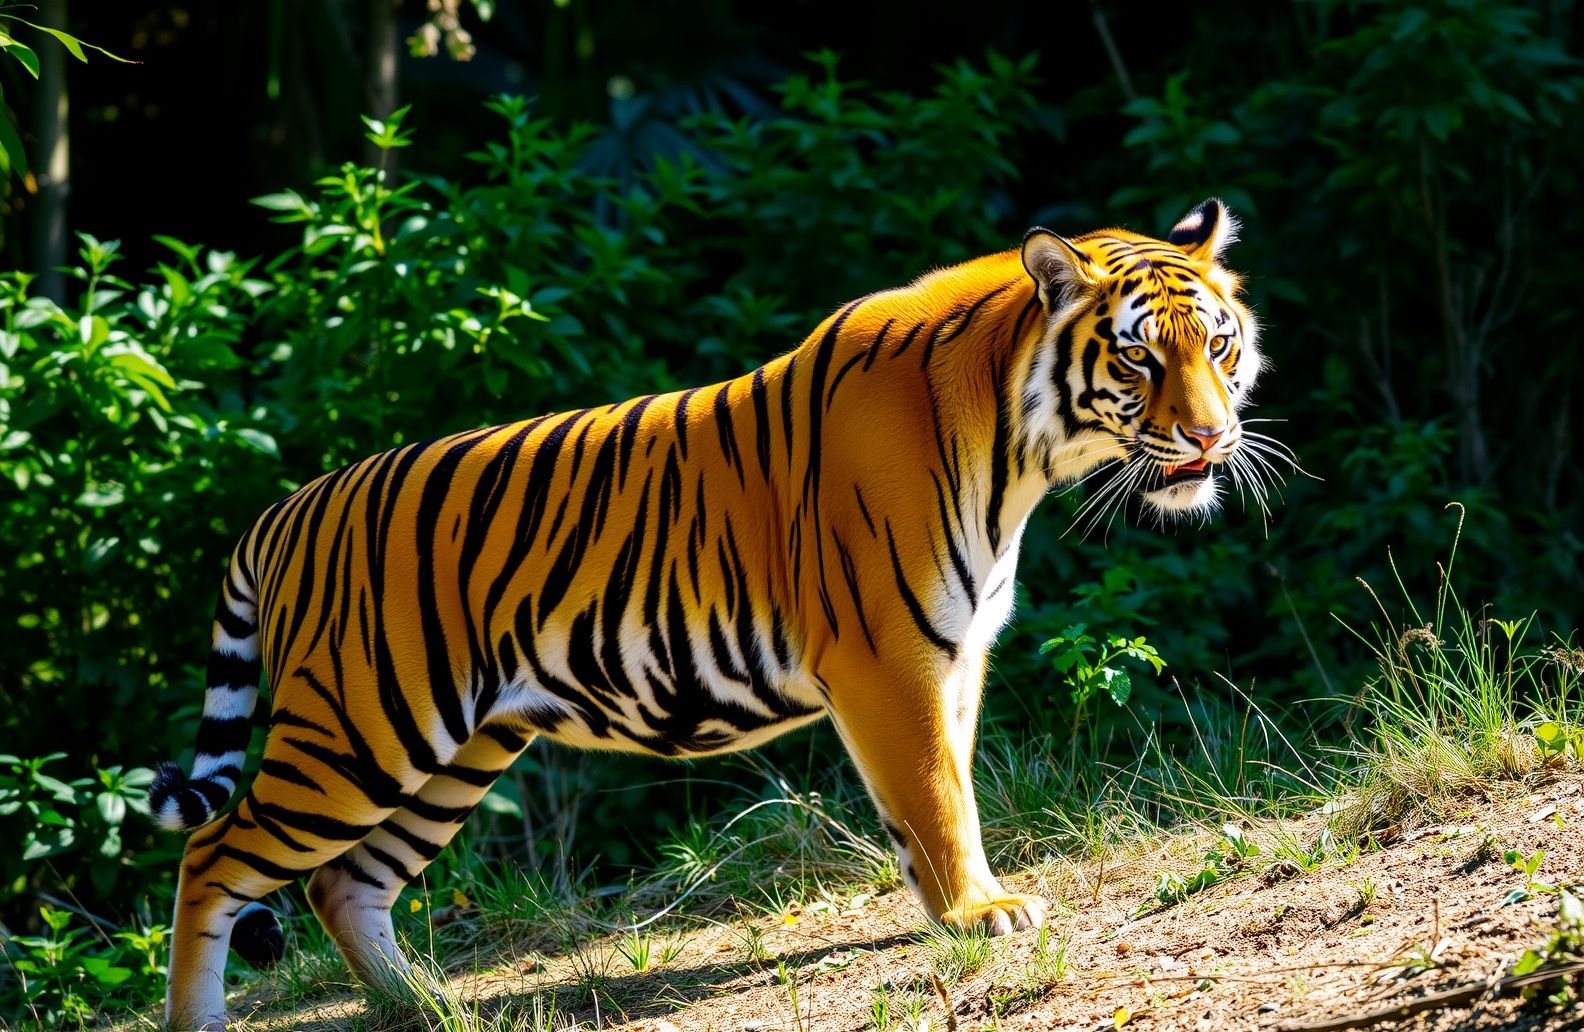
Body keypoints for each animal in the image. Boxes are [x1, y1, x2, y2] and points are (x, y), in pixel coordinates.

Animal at [149, 198, 1264, 1030]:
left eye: (1218, 345)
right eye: (1137, 360)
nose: (1213, 438)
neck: (1022, 451)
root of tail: (284, 510)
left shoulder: (957, 656)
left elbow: (942, 794)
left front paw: (955, 906)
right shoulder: (888, 657)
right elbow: (938, 794)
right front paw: (979, 911)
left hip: (453, 751)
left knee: (344, 884)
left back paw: (434, 1009)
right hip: (359, 732)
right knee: (214, 858)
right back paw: (209, 1021)